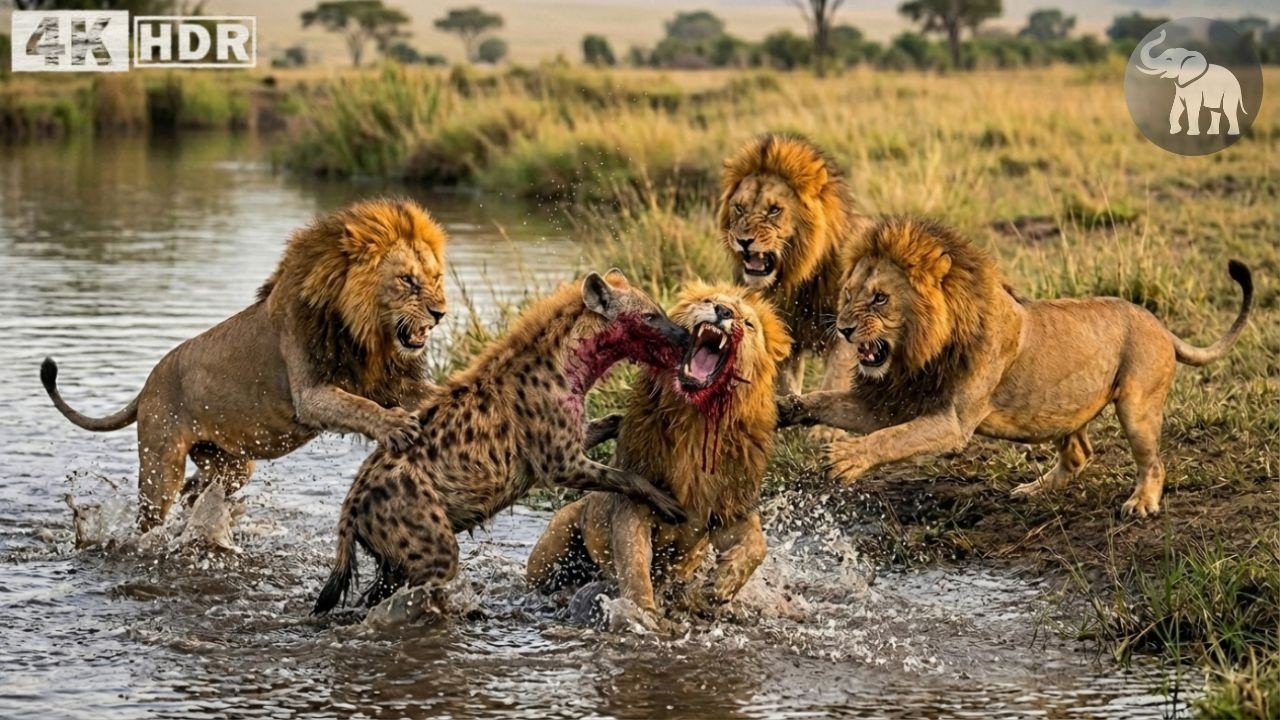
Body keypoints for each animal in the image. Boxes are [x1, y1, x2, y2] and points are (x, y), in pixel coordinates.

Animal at [42, 197, 448, 532]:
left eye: (436, 278)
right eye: (407, 280)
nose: (440, 313)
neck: (364, 335)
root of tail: (145, 386)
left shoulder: (385, 382)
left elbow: (427, 393)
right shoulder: (310, 394)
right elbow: (358, 407)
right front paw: (395, 426)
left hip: (231, 464)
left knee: (196, 490)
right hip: (161, 466)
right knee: (155, 513)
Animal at [526, 283, 791, 620]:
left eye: (749, 323)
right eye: (709, 300)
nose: (723, 311)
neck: (696, 422)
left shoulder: (731, 506)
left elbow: (757, 547)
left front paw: (711, 590)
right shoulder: (634, 504)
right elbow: (635, 564)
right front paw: (641, 615)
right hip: (555, 541)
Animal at [719, 133, 872, 396]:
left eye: (774, 210)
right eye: (739, 208)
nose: (743, 241)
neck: (799, 277)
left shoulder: (845, 338)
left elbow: (832, 385)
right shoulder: (787, 337)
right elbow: (787, 389)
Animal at [778, 217, 1253, 517]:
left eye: (879, 298)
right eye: (847, 294)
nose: (843, 329)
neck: (921, 351)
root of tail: (1160, 325)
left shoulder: (952, 423)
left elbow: (892, 439)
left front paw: (846, 457)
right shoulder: (893, 401)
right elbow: (831, 402)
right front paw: (789, 407)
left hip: (1137, 407)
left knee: (1152, 463)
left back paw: (1142, 503)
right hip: (1064, 409)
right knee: (1079, 454)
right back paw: (1031, 491)